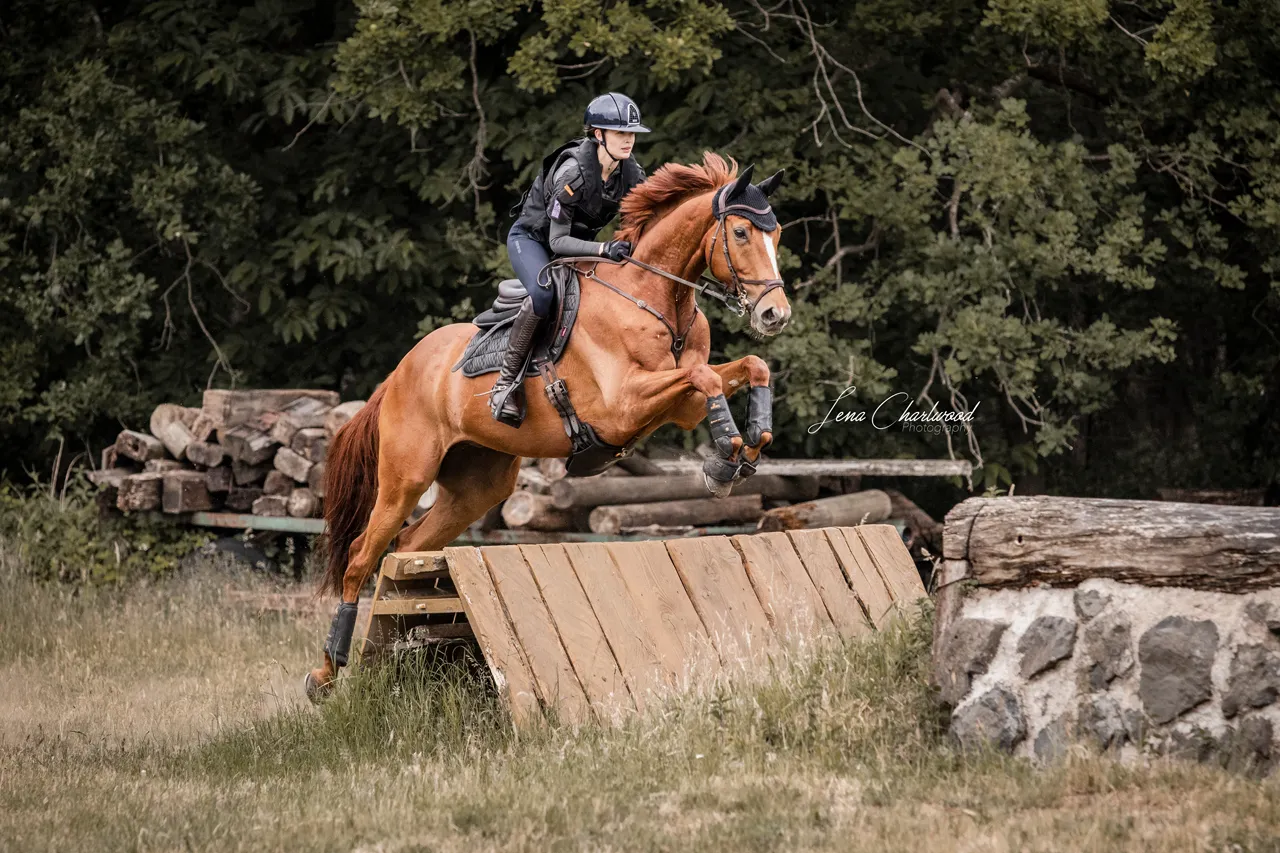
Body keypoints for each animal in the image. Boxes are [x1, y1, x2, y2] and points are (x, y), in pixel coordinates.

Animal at [305, 153, 794, 699]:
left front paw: (746, 448)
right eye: (741, 233)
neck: (653, 297)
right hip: (404, 478)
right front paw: (725, 456)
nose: (775, 314)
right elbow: (705, 375)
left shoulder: (680, 406)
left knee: (410, 546)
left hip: (479, 486)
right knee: (359, 556)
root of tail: (398, 373)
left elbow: (749, 367)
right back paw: (325, 673)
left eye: (776, 235)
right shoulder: (622, 405)